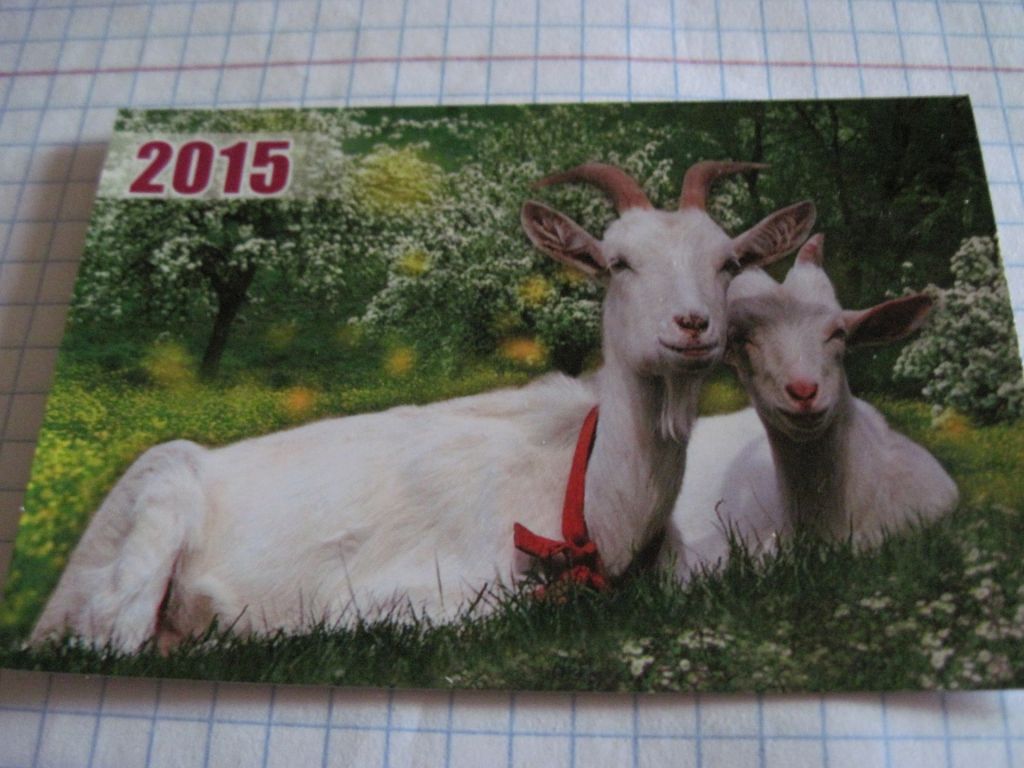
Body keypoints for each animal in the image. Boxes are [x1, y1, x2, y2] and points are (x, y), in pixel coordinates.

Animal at [32, 162, 815, 650]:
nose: (692, 325)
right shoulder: (431, 583)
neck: (593, 495)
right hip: (152, 523)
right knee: (115, 641)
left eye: (728, 262)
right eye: (617, 263)